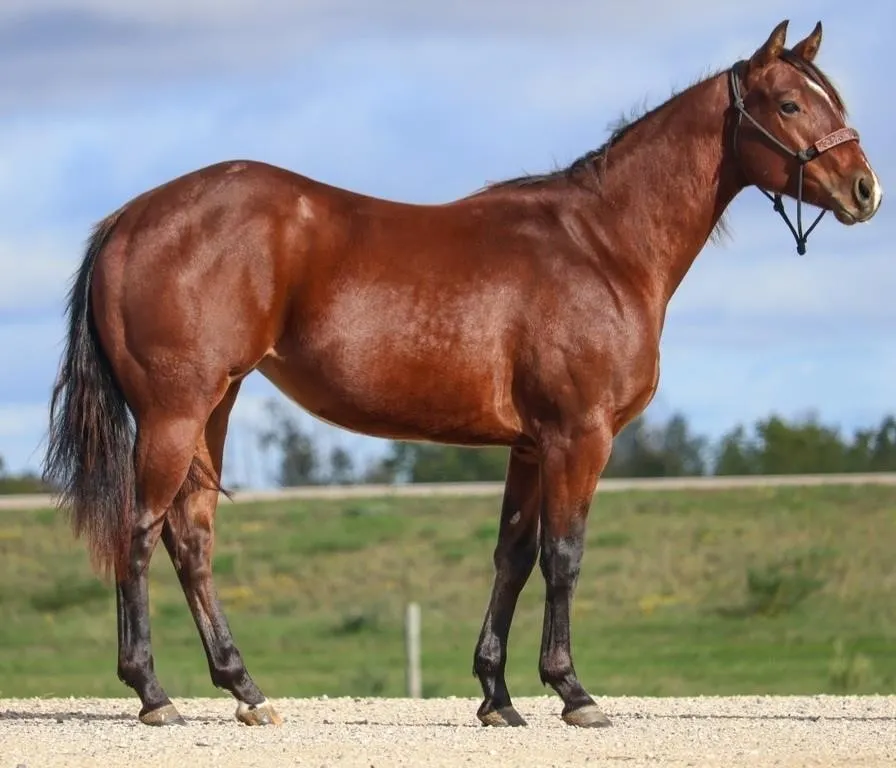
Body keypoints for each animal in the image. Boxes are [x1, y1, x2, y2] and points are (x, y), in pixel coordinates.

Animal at [43, 19, 882, 728]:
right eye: (790, 102)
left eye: (831, 98)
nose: (865, 191)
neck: (602, 244)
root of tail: (130, 218)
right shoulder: (579, 436)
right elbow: (564, 556)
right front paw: (573, 691)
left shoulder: (531, 445)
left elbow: (513, 558)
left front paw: (497, 695)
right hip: (173, 412)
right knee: (139, 532)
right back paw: (154, 694)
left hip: (213, 407)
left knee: (192, 538)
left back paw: (245, 689)